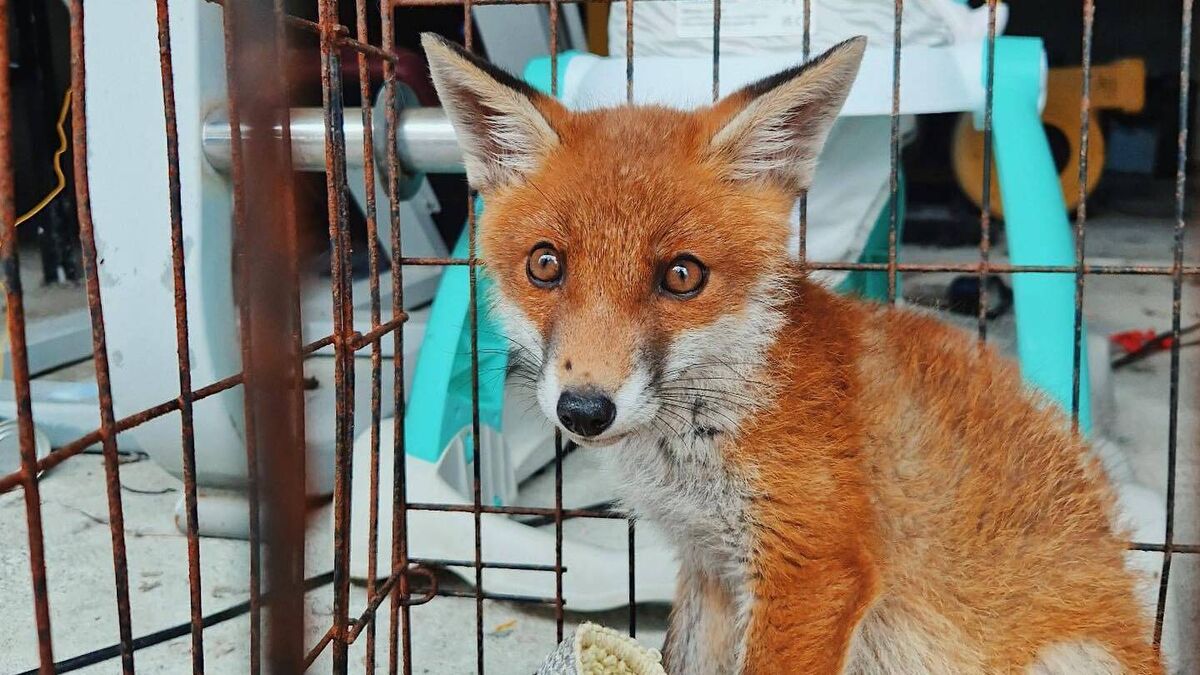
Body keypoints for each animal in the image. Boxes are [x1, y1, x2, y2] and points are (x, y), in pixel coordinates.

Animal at [421, 32, 1162, 674]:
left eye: (682, 275)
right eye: (545, 265)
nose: (583, 410)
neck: (709, 426)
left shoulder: (813, 564)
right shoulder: (712, 566)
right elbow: (682, 658)